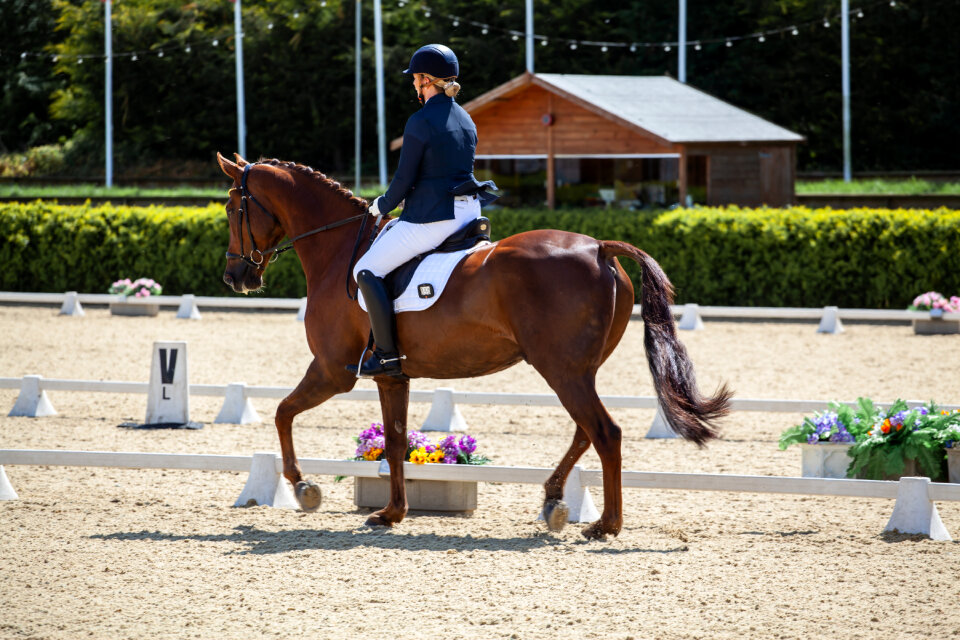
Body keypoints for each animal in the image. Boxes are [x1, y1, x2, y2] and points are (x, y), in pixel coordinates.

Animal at [218, 155, 728, 540]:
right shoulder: (390, 374)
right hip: (578, 370)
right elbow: (396, 439)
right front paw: (392, 513)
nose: (235, 277)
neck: (338, 248)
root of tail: (599, 247)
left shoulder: (331, 370)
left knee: (605, 433)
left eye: (230, 207)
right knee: (586, 431)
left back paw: (605, 524)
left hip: (562, 370)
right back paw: (554, 500)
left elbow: (283, 412)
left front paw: (303, 487)